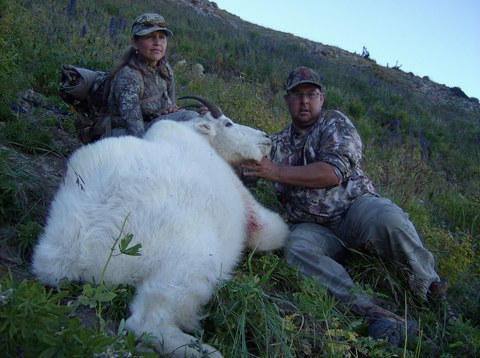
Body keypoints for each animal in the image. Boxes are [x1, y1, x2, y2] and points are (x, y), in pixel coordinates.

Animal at [33, 96, 290, 356]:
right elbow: (271, 231)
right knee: (148, 321)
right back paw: (202, 350)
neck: (200, 139)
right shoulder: (245, 201)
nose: (265, 137)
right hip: (192, 261)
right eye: (228, 123)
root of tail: (75, 252)